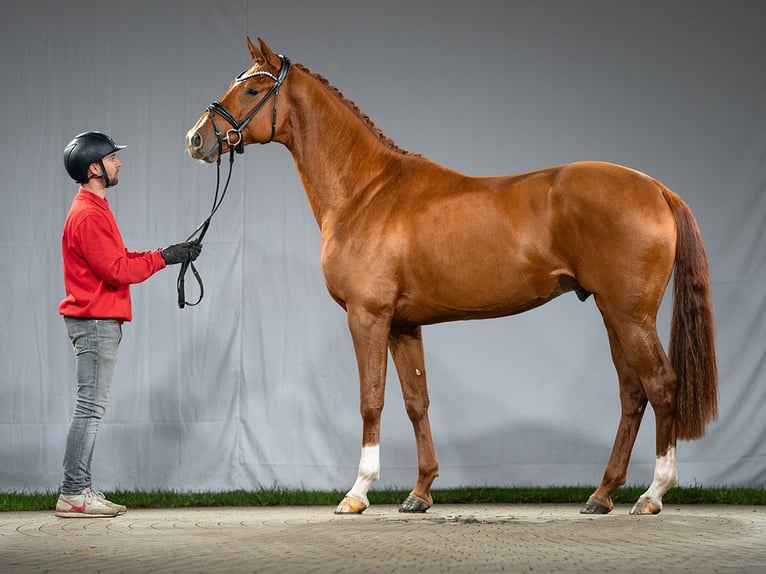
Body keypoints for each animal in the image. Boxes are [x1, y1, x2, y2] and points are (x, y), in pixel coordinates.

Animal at [188, 38, 720, 520]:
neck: (366, 190)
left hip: (630, 315)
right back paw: (601, 495)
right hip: (613, 314)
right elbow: (416, 401)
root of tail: (655, 188)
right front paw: (419, 493)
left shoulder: (368, 317)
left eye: (253, 88)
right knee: (633, 394)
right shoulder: (404, 325)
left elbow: (371, 400)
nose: (196, 139)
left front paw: (357, 493)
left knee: (662, 385)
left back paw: (651, 495)